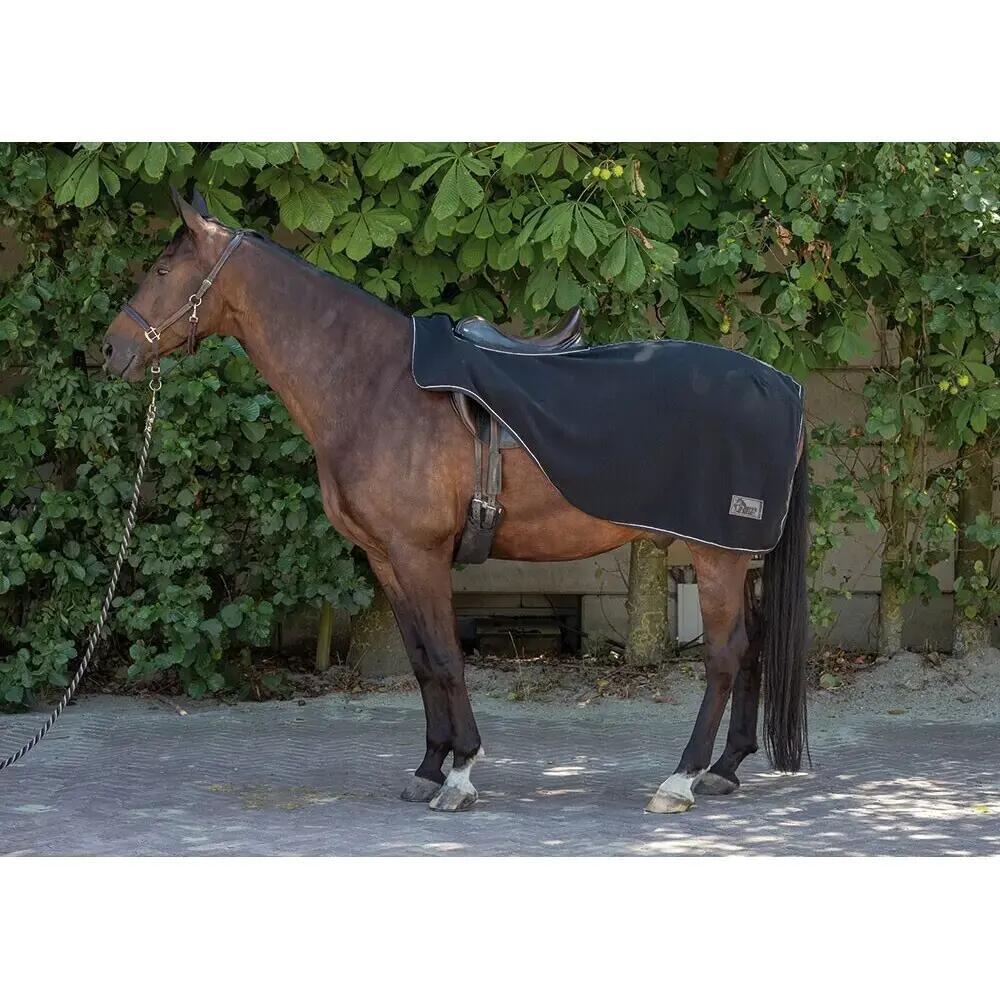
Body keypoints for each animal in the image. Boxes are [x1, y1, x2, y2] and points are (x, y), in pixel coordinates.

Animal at [101, 192, 809, 814]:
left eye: (162, 269)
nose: (110, 349)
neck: (373, 384)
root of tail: (782, 383)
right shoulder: (386, 559)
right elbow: (421, 663)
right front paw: (427, 767)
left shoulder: (420, 554)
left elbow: (445, 657)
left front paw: (461, 772)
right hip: (733, 557)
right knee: (751, 643)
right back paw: (725, 768)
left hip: (717, 556)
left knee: (724, 654)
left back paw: (681, 779)